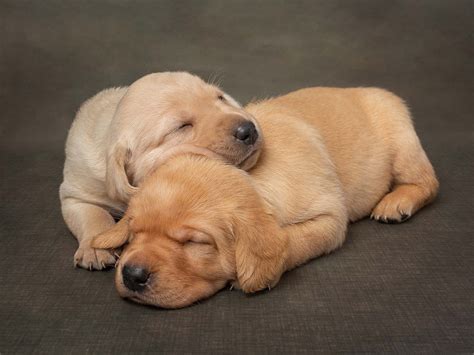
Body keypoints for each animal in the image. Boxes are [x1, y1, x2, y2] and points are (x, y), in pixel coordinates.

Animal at [58, 73, 262, 272]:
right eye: (182, 126)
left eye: (220, 98)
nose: (248, 129)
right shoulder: (76, 192)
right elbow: (93, 214)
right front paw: (95, 248)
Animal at [90, 87, 438, 308]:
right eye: (134, 233)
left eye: (194, 242)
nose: (132, 275)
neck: (254, 174)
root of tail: (373, 89)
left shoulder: (330, 219)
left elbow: (291, 241)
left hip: (402, 142)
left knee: (428, 182)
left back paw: (397, 202)